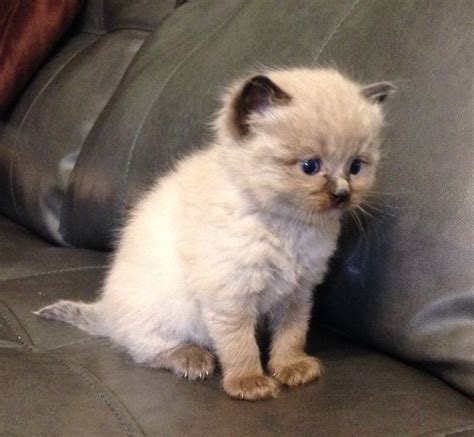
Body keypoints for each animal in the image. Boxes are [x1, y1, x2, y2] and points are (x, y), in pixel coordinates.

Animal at [35, 67, 394, 398]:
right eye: (310, 166)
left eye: (356, 166)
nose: (342, 194)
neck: (290, 227)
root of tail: (106, 310)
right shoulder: (230, 295)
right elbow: (240, 345)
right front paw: (248, 383)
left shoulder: (298, 292)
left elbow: (291, 334)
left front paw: (291, 368)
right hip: (167, 312)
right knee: (144, 350)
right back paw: (192, 358)